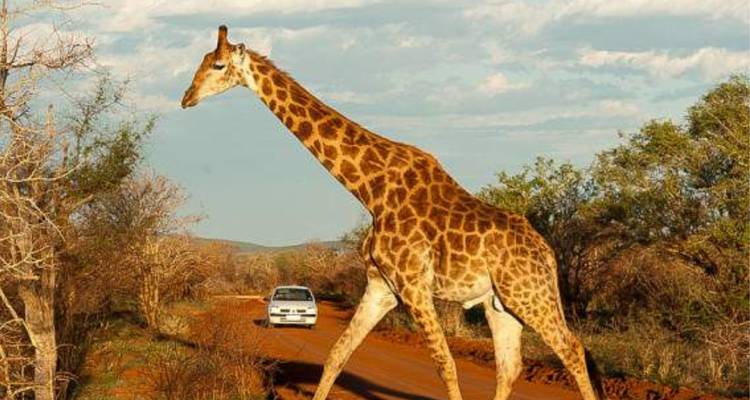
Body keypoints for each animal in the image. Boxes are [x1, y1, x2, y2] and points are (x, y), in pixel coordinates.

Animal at [181, 26, 604, 400]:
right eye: (201, 60)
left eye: (218, 65)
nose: (186, 98)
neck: (370, 189)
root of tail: (547, 254)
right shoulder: (381, 286)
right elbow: (337, 354)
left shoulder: (413, 284)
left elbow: (446, 365)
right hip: (500, 302)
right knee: (510, 366)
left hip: (528, 293)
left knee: (572, 350)